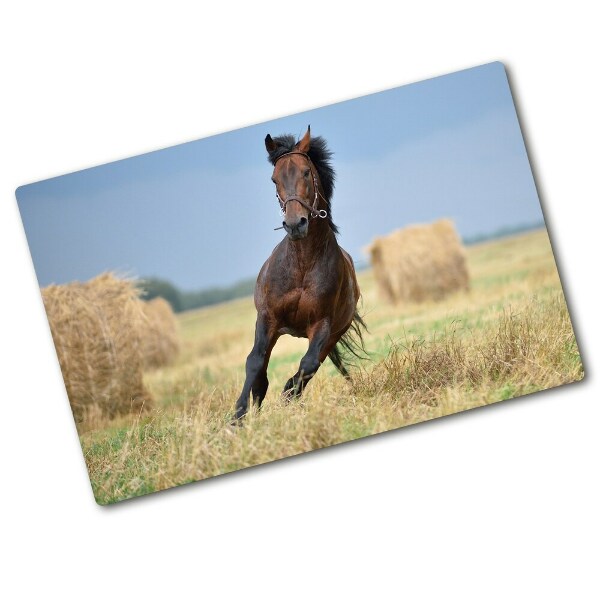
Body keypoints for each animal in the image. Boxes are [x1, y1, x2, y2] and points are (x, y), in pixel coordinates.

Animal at [233, 125, 366, 422]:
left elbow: (307, 365)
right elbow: (254, 363)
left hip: (334, 334)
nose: (295, 224)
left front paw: (286, 398)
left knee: (311, 366)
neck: (302, 265)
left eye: (306, 172)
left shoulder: (322, 324)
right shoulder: (267, 318)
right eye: (274, 179)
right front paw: (238, 417)